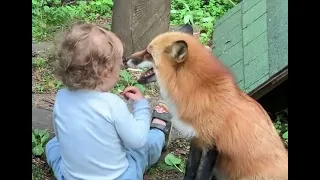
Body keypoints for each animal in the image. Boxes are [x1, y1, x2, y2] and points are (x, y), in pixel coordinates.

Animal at [124, 24, 288, 179]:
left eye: (148, 53)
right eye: (146, 49)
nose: (124, 59)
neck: (197, 93)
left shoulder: (212, 147)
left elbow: (202, 174)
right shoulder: (196, 138)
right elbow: (190, 170)